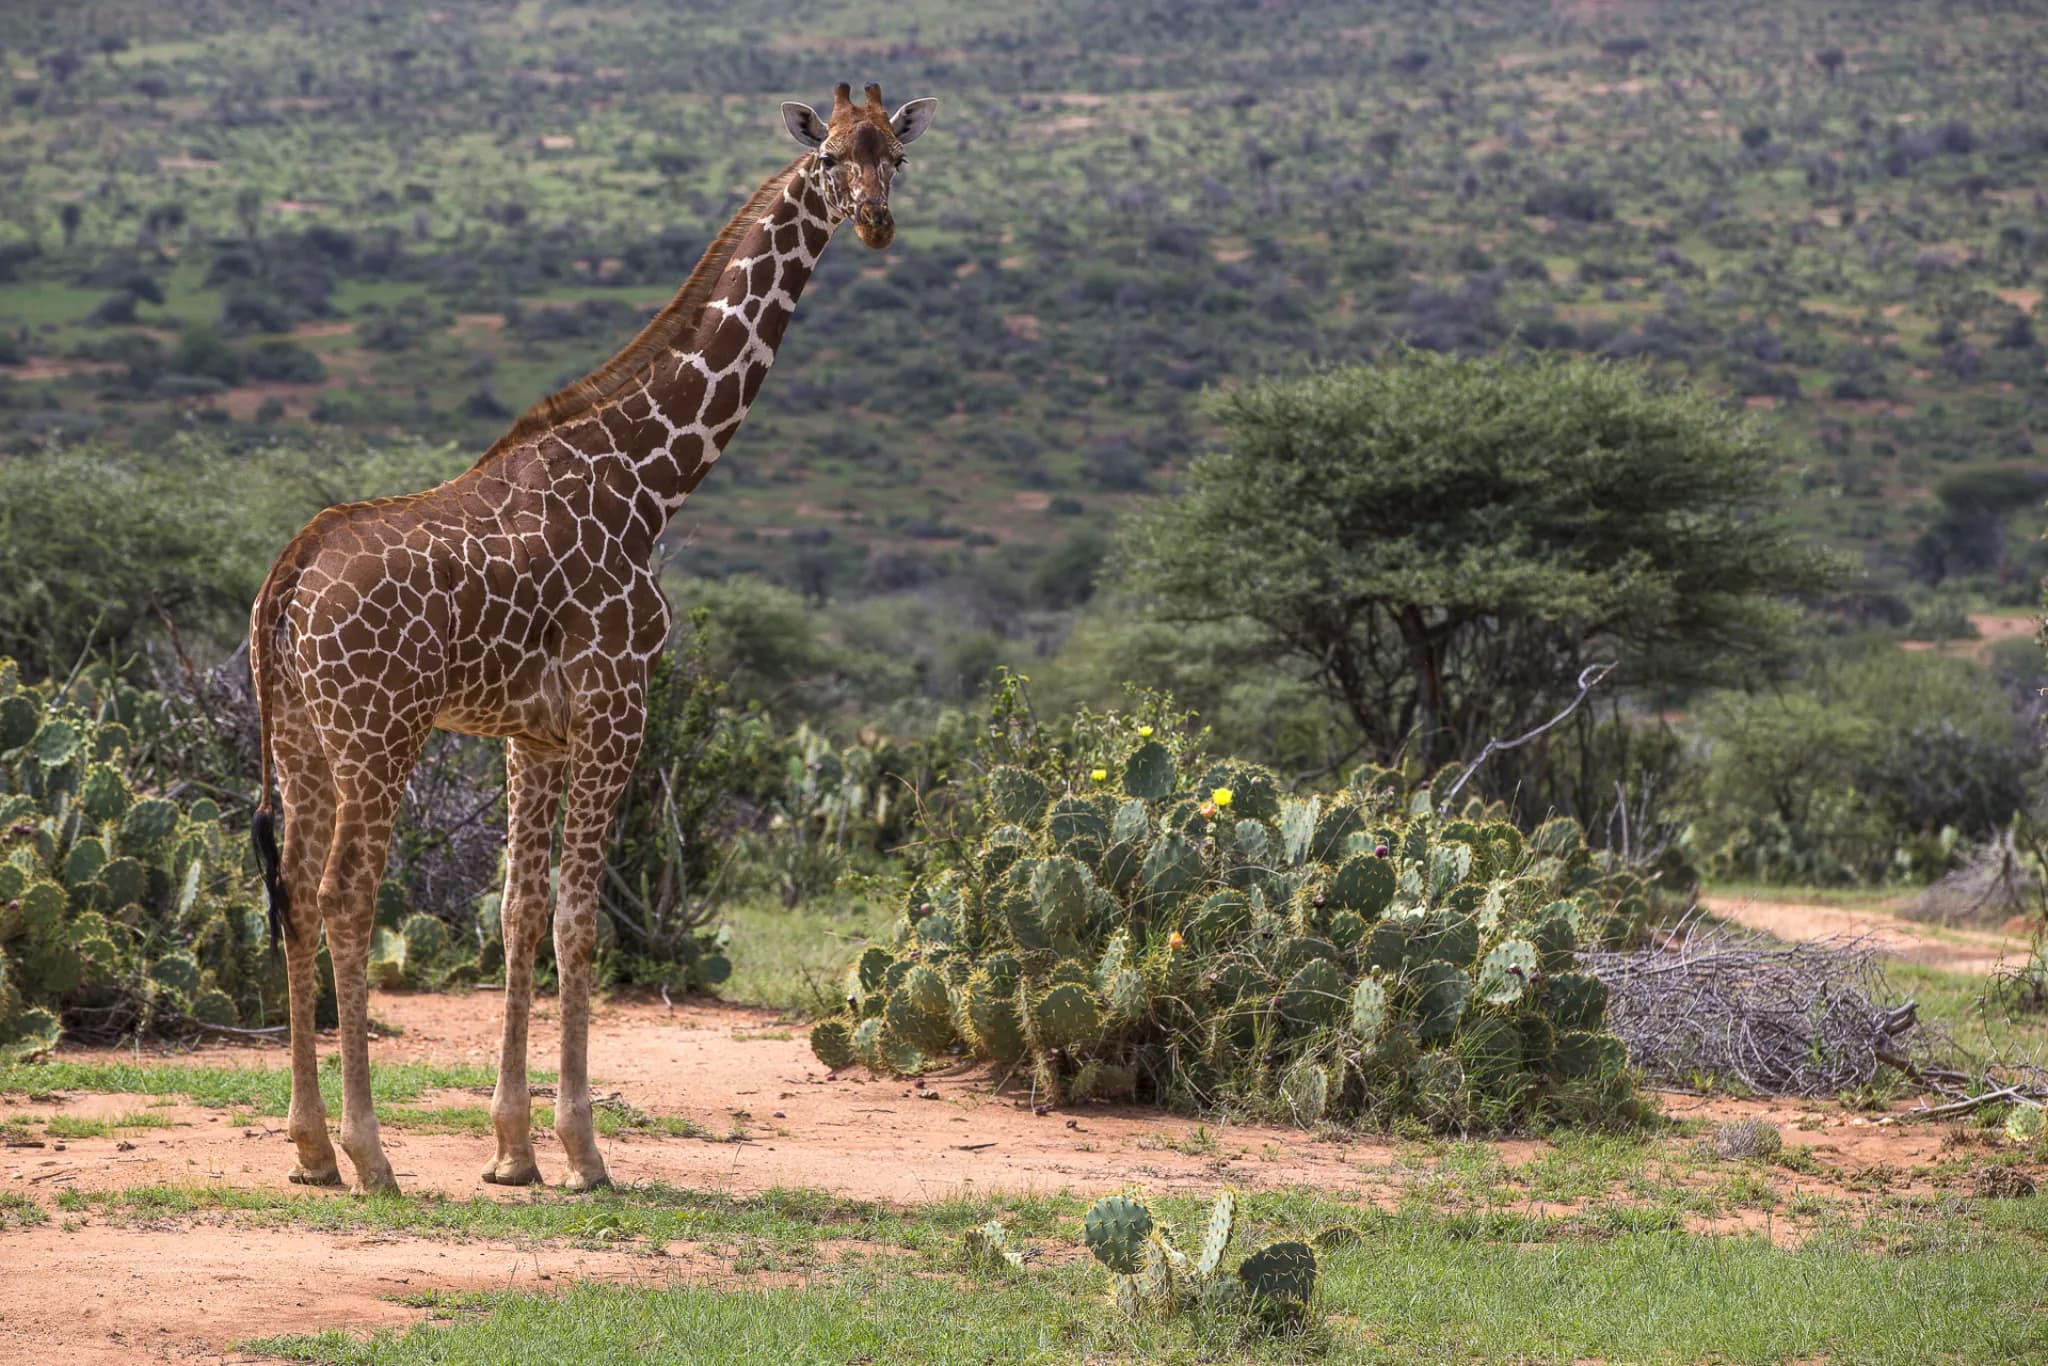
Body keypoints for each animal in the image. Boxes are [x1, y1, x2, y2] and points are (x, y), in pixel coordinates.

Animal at [246, 83, 938, 1194]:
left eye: (896, 158)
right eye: (831, 156)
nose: (874, 221)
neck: (652, 481)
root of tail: (288, 574)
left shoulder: (532, 732)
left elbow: (519, 911)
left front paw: (512, 1151)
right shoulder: (619, 704)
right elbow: (579, 917)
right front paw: (582, 1149)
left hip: (301, 739)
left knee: (296, 896)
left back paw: (310, 1148)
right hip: (377, 734)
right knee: (345, 896)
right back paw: (370, 1151)